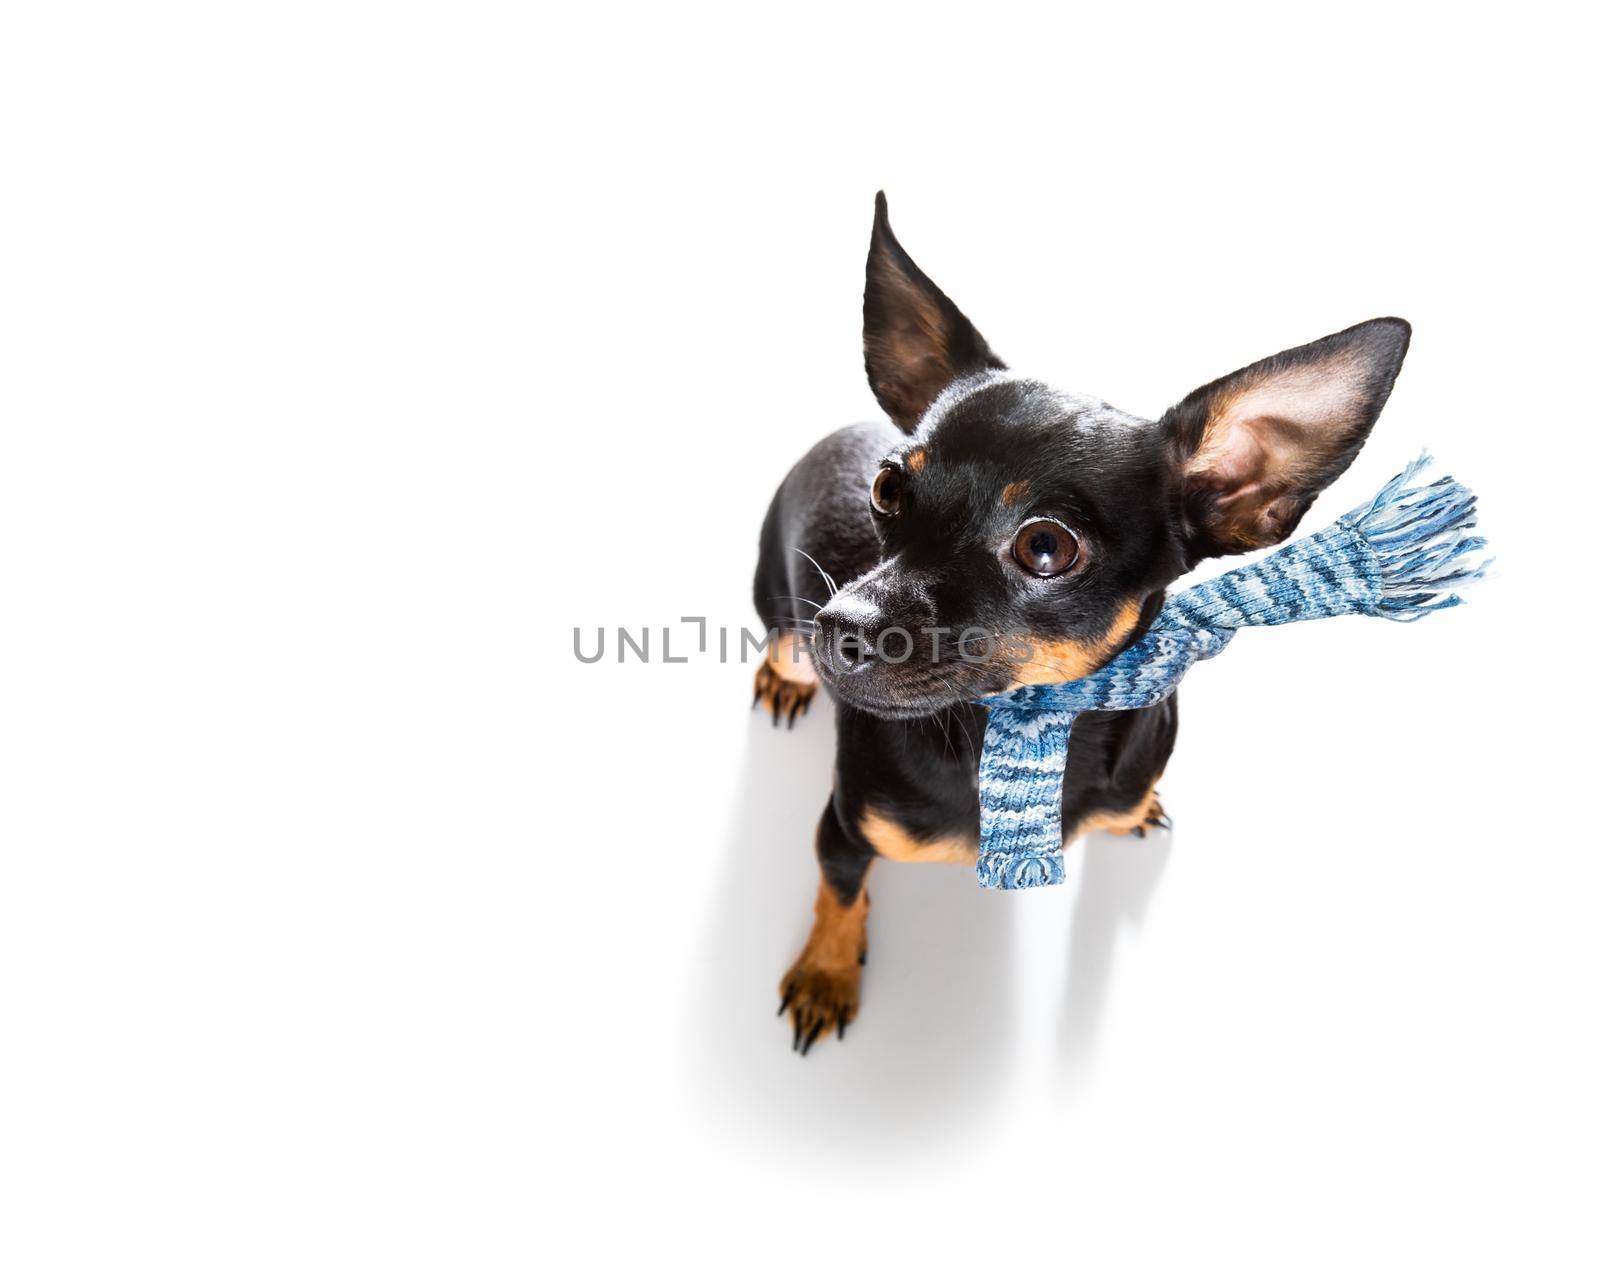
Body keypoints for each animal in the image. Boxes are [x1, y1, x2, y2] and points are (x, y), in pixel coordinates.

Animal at [755, 190, 1408, 1049]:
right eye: (889, 489)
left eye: (1045, 547)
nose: (842, 621)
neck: (1023, 729)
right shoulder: (841, 829)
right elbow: (837, 895)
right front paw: (826, 972)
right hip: (782, 621)